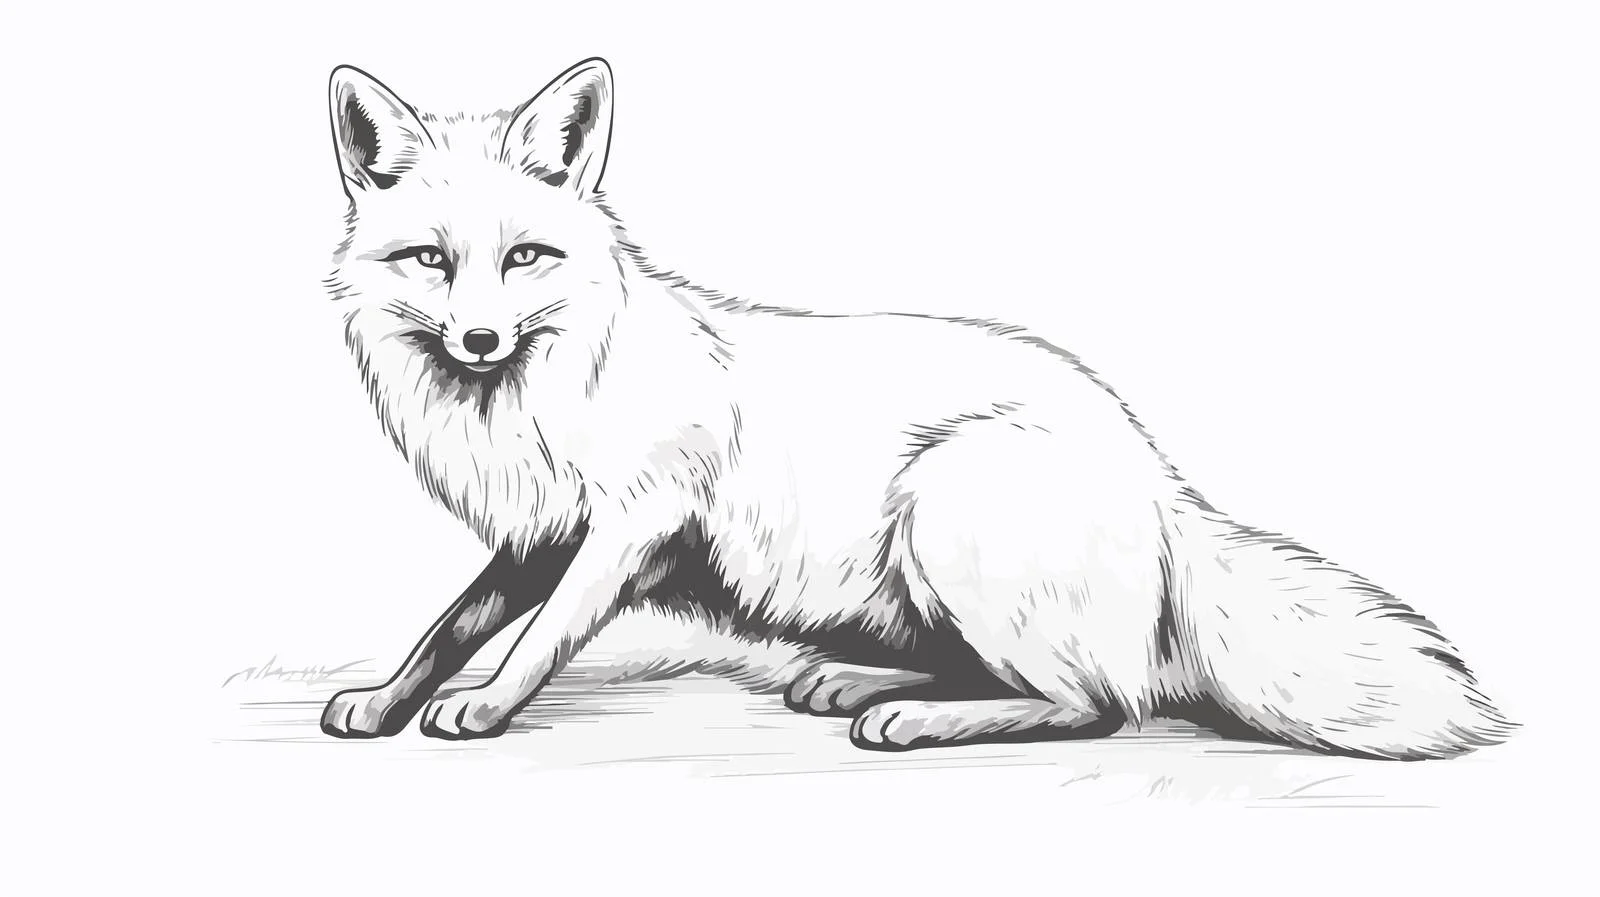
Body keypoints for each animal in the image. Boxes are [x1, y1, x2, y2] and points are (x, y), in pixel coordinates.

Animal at [318, 57, 1514, 760]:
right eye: (431, 261)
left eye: (526, 257)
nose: (479, 340)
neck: (539, 395)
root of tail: (1166, 493)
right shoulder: (544, 533)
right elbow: (449, 625)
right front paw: (382, 698)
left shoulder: (631, 522)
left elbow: (538, 638)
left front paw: (481, 709)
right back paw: (854, 682)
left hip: (950, 506)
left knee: (1097, 704)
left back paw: (908, 715)